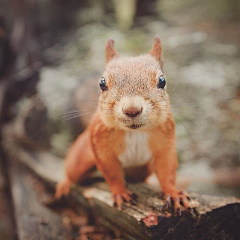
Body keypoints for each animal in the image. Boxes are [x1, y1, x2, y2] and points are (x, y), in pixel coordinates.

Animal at [55, 37, 193, 214]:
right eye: (102, 83)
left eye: (162, 81)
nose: (132, 110)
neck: (135, 132)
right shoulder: (101, 145)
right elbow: (112, 172)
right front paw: (120, 193)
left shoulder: (165, 141)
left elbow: (166, 169)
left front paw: (173, 193)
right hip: (80, 157)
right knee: (73, 172)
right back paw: (64, 184)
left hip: (142, 169)